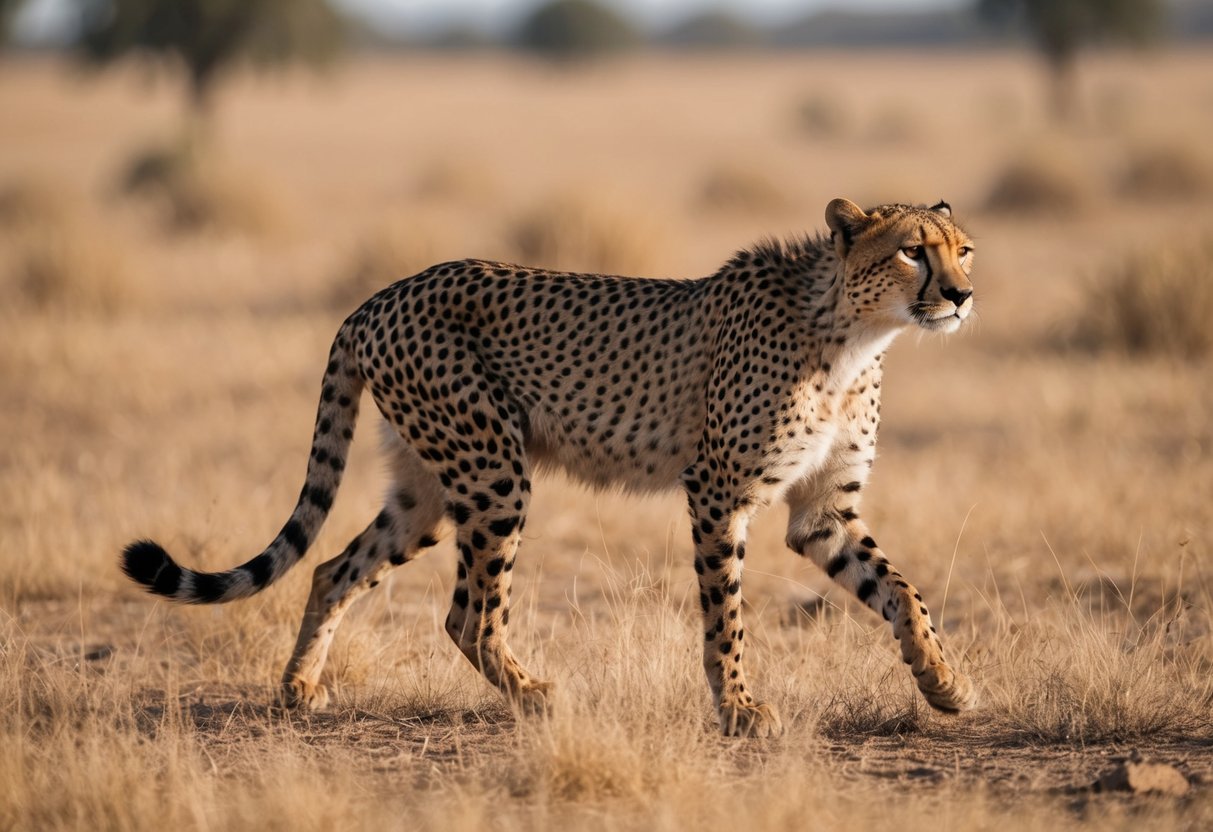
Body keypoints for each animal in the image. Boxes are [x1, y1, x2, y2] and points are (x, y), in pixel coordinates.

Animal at [122, 197, 979, 738]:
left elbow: (901, 591)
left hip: (429, 487)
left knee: (334, 568)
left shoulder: (820, 511)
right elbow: (726, 616)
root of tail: (382, 295)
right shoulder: (717, 492)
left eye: (963, 249)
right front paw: (738, 708)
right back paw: (535, 695)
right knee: (466, 613)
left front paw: (943, 682)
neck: (852, 332)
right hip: (492, 470)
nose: (962, 296)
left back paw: (298, 686)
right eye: (910, 250)